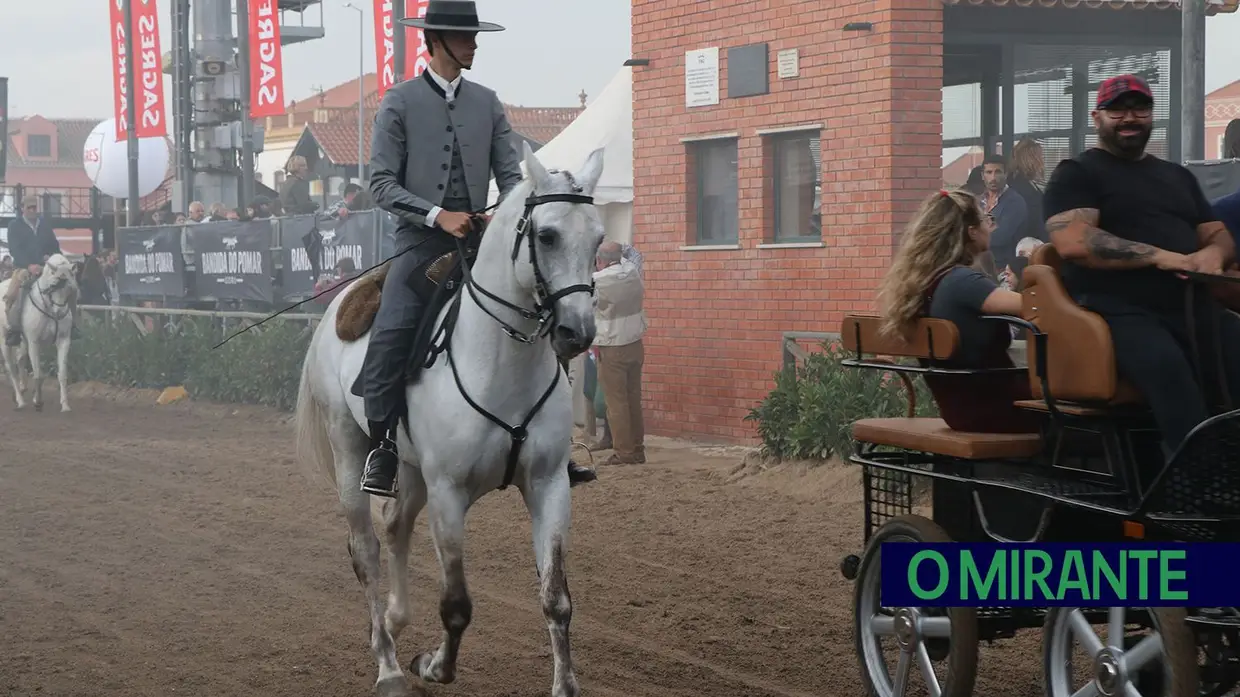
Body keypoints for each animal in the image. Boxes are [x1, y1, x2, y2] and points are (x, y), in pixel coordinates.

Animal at [0, 251, 76, 409]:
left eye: (69, 288)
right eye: (53, 286)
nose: (60, 312)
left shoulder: (63, 341)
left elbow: (62, 374)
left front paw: (65, 405)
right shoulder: (34, 342)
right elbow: (38, 374)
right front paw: (38, 401)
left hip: (24, 342)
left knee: (20, 359)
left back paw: (23, 388)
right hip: (5, 341)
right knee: (11, 369)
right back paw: (20, 401)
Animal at [295, 142, 605, 694]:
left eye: (599, 237)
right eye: (547, 235)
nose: (578, 333)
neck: (502, 362)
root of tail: (340, 302)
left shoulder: (549, 485)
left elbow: (556, 599)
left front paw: (564, 685)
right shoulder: (448, 493)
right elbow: (457, 603)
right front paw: (434, 665)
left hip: (409, 468)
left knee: (395, 526)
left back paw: (394, 620)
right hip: (350, 453)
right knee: (365, 551)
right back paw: (388, 664)